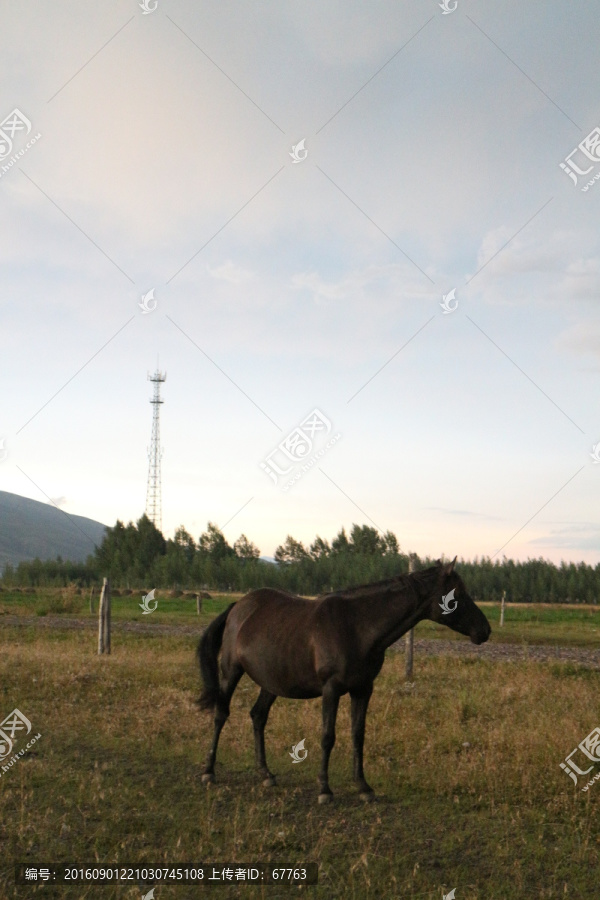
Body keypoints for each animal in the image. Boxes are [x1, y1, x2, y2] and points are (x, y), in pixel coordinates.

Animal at [199, 560, 490, 804]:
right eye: (456, 595)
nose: (485, 631)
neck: (356, 627)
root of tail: (238, 606)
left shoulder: (363, 690)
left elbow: (358, 734)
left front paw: (363, 787)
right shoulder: (332, 690)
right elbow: (328, 736)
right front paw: (325, 789)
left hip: (272, 682)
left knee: (258, 717)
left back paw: (266, 774)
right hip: (231, 672)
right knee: (221, 714)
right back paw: (209, 771)